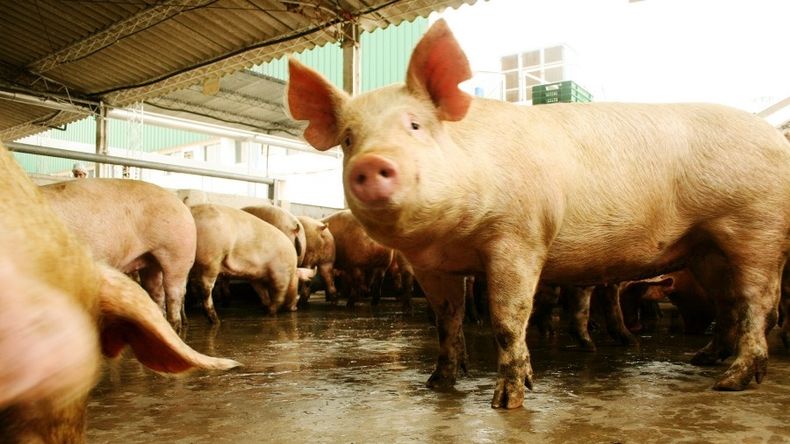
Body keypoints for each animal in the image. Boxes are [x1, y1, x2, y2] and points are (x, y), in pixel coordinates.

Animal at [40, 179, 196, 334]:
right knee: (157, 292)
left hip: (178, 253)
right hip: (152, 262)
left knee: (175, 294)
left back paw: (175, 327)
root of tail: (181, 204)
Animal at [286, 19, 790, 408]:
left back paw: (729, 383)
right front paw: (437, 384)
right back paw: (704, 358)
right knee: (728, 302)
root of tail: (776, 139)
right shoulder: (430, 265)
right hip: (705, 250)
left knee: (757, 302)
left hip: (757, 227)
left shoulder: (520, 237)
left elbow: (508, 318)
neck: (451, 238)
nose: (372, 162)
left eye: (415, 125)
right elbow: (447, 319)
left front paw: (507, 401)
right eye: (349, 139)